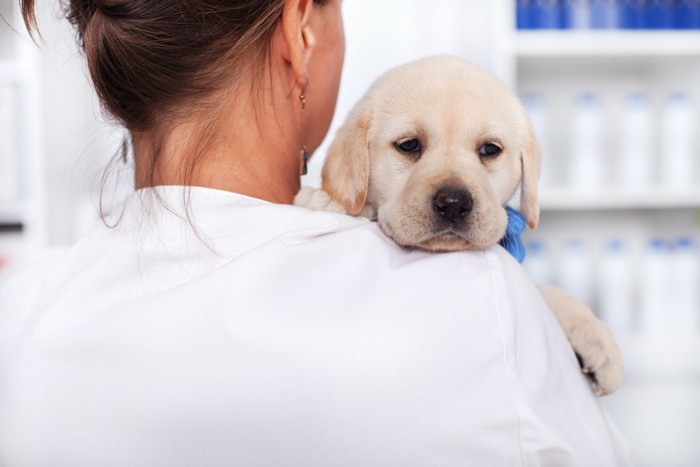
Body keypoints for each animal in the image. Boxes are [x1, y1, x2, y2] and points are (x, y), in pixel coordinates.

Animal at [296, 56, 624, 396]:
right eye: (409, 145)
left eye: (490, 149)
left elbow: (547, 290)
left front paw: (595, 336)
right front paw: (327, 199)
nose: (453, 203)